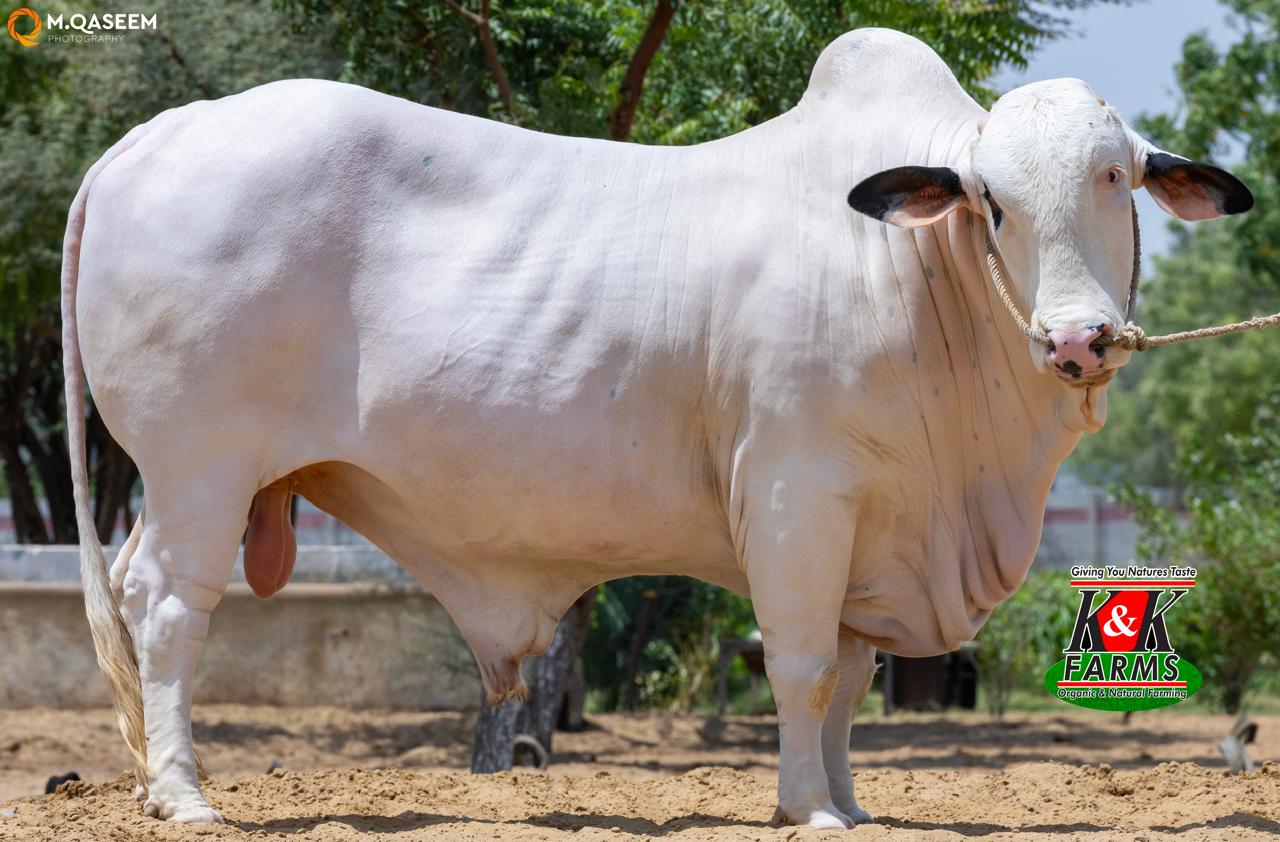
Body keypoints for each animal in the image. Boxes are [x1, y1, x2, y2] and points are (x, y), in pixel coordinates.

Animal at [63, 28, 1251, 828]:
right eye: (990, 201)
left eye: (1116, 178)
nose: (1077, 337)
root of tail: (155, 134)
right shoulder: (797, 490)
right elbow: (802, 667)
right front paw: (808, 810)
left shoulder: (876, 524)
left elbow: (849, 688)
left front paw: (850, 801)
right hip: (202, 468)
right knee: (166, 609)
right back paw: (184, 795)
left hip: (182, 482)